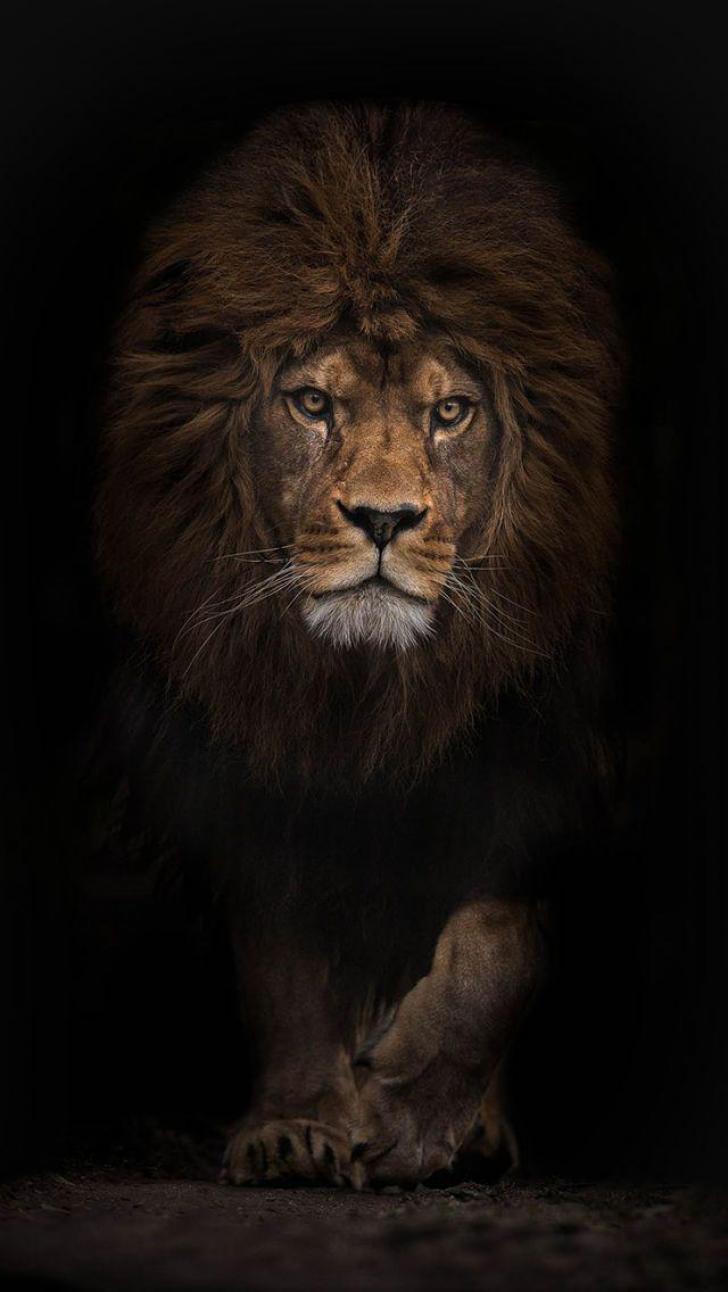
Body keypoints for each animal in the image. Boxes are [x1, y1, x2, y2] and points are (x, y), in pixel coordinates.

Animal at [95, 102, 620, 1188]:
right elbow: (282, 958)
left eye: (450, 411)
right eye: (312, 402)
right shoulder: (249, 756)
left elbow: (500, 939)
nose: (383, 518)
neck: (367, 694)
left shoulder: (549, 752)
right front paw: (298, 1123)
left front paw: (416, 1114)